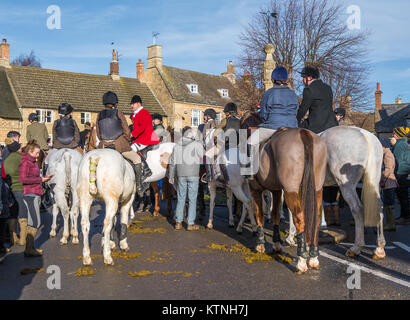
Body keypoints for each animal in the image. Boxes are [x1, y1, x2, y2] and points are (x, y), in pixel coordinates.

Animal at [240, 112, 326, 272]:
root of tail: (304, 133)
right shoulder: (276, 190)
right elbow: (275, 215)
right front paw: (276, 243)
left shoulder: (256, 189)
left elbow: (260, 214)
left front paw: (260, 244)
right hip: (317, 189)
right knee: (315, 219)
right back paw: (313, 257)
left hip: (291, 191)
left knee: (300, 219)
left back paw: (301, 260)